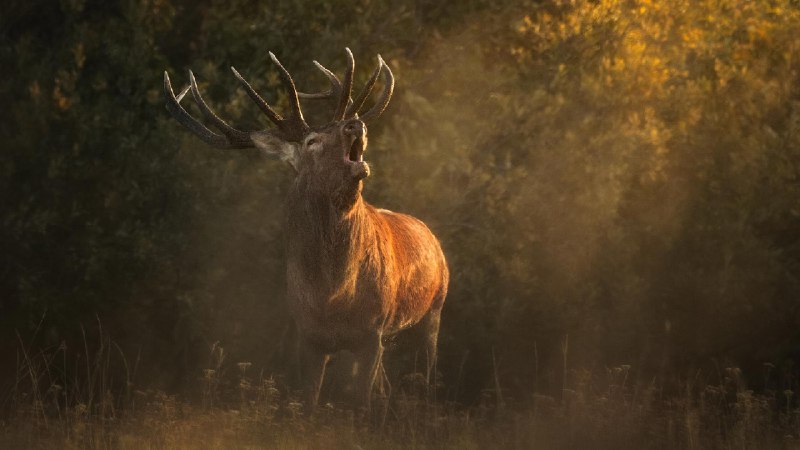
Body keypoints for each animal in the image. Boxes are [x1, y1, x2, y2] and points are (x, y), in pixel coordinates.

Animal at [162, 49, 450, 412]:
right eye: (312, 140)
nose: (355, 123)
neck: (331, 292)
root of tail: (433, 236)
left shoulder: (372, 331)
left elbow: (363, 404)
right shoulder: (308, 336)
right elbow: (308, 403)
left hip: (434, 307)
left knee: (427, 376)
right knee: (387, 386)